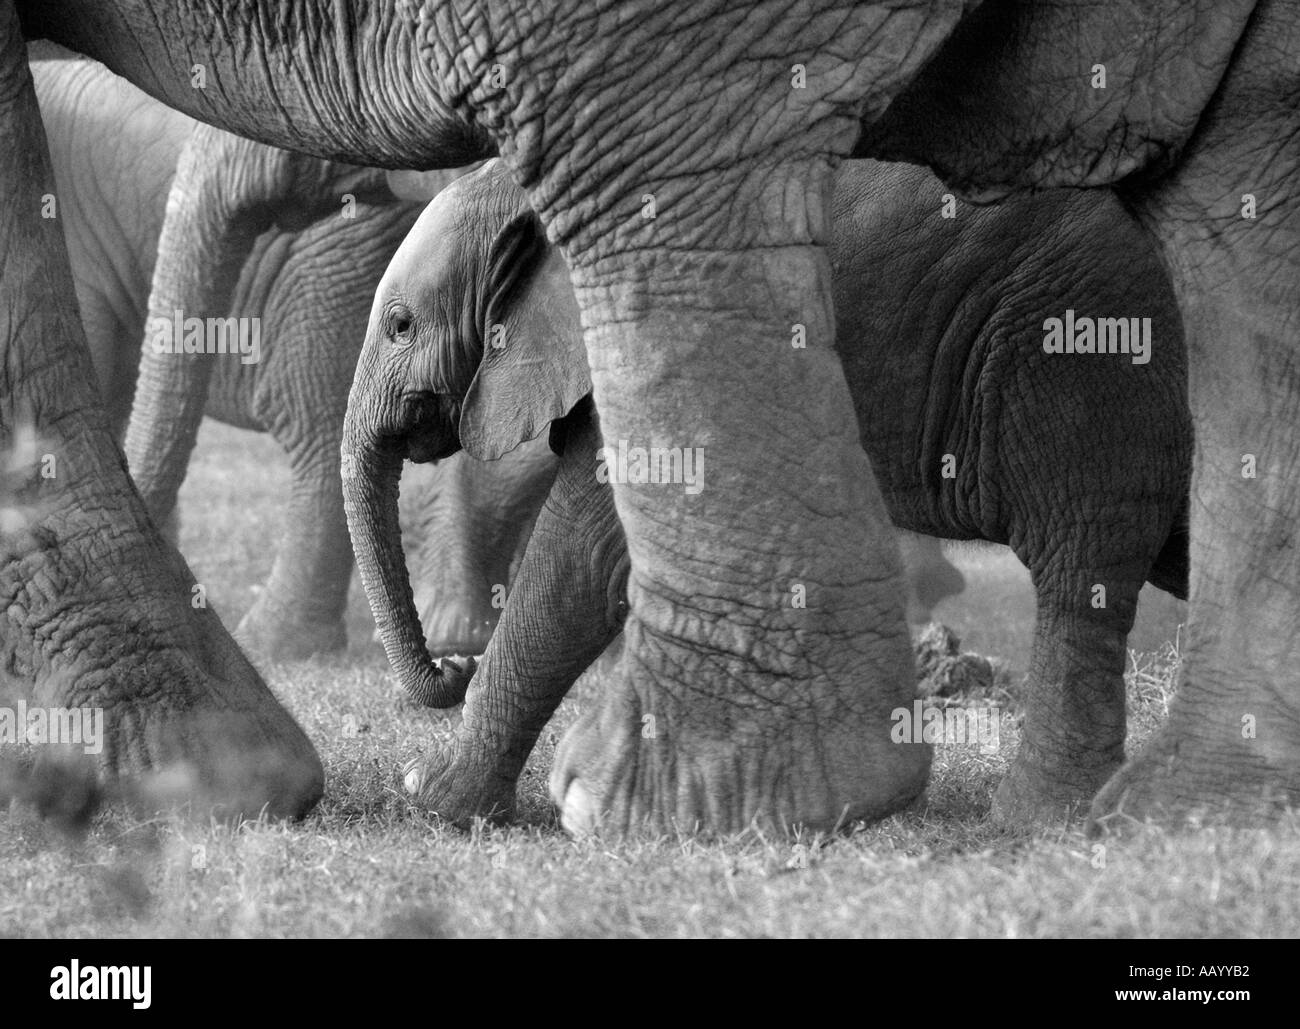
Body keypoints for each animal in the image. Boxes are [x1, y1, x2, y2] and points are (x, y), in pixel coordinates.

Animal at [345, 157, 1191, 827]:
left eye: (400, 324)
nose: (451, 667)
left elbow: (582, 560)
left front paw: (435, 799)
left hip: (1079, 343)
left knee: (1081, 556)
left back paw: (1039, 817)